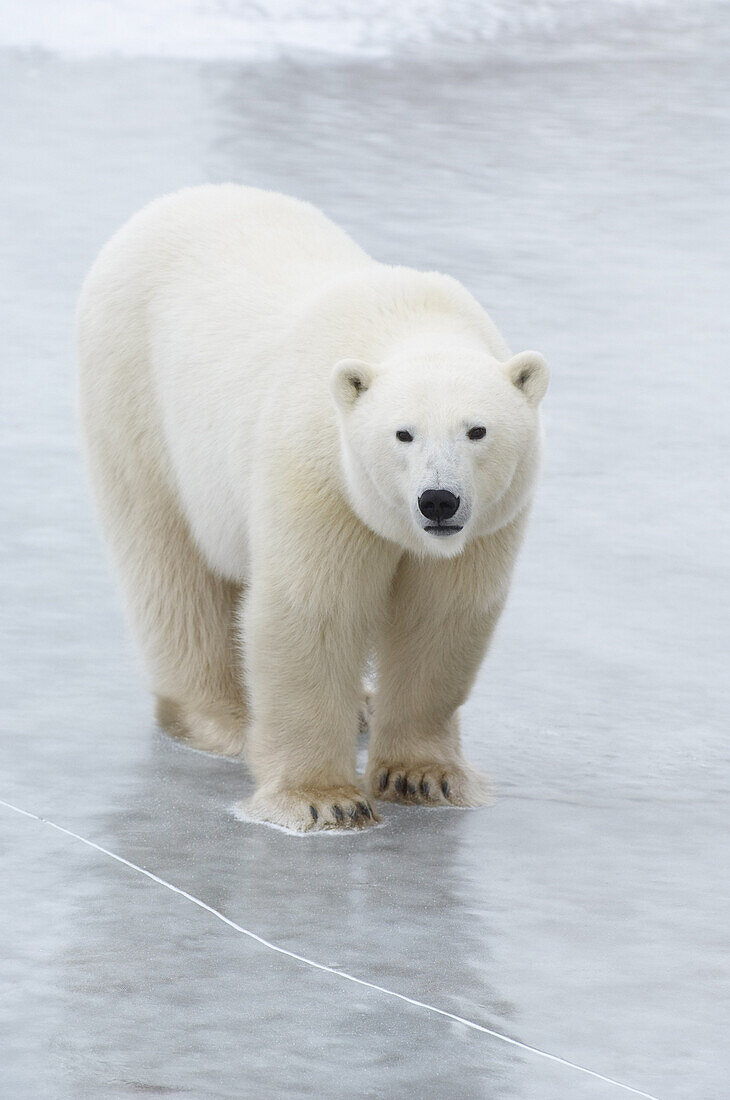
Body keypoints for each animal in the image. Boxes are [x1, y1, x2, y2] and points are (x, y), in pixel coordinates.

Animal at [78, 184, 547, 831]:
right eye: (403, 433)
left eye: (477, 430)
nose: (438, 499)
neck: (410, 318)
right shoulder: (319, 476)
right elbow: (313, 611)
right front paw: (324, 800)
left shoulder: (485, 527)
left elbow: (442, 617)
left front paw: (422, 776)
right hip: (136, 399)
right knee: (171, 570)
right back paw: (222, 717)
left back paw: (363, 706)